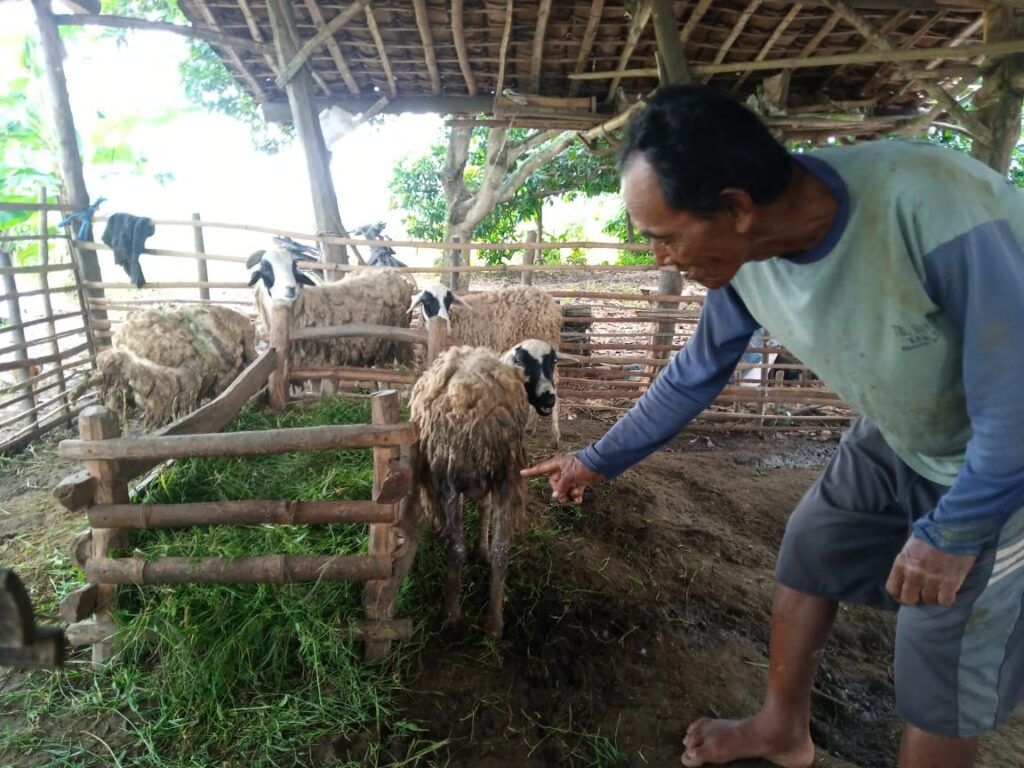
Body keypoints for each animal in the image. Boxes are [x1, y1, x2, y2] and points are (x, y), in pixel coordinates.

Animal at [247, 247, 415, 370]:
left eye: (294, 267)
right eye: (265, 268)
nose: (290, 288)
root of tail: (392, 272)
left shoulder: (322, 359)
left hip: (399, 337)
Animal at [407, 342, 561, 638]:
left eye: (553, 361)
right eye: (524, 362)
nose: (549, 398)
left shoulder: (489, 482)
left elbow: (490, 532)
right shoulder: (470, 482)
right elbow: (469, 538)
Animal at [409, 286, 569, 448]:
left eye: (448, 301)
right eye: (427, 301)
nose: (445, 323)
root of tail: (549, 302)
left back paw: (554, 435)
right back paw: (532, 426)